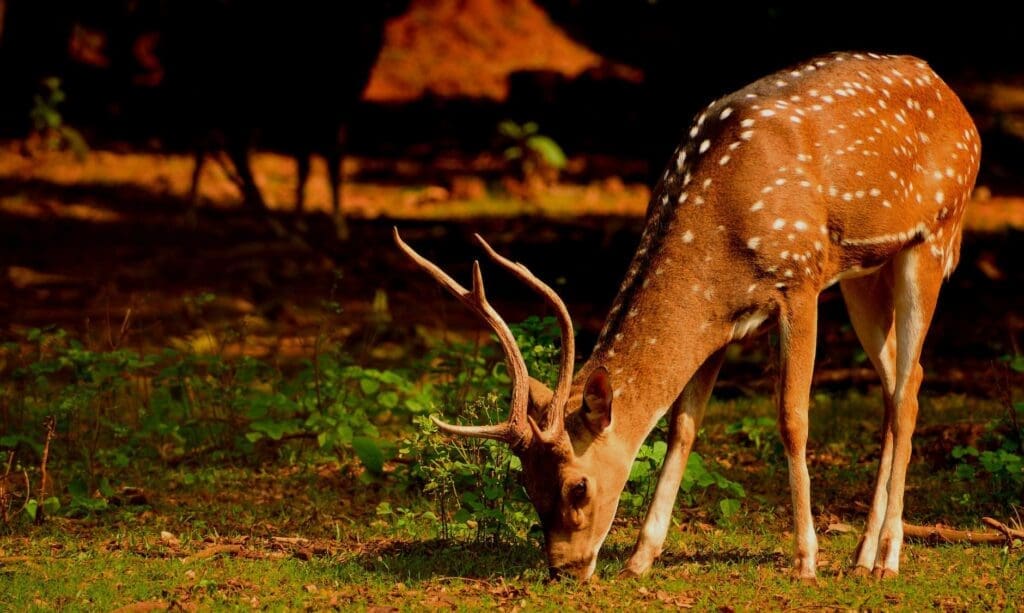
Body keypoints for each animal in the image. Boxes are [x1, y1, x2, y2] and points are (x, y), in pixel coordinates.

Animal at [395, 51, 980, 582]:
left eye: (577, 486)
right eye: (526, 484)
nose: (564, 569)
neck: (718, 238)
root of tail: (957, 103)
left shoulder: (801, 278)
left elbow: (792, 419)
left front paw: (806, 561)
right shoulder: (721, 322)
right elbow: (682, 427)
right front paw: (640, 558)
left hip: (934, 237)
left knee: (907, 394)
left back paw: (886, 558)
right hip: (865, 272)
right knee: (902, 382)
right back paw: (861, 556)